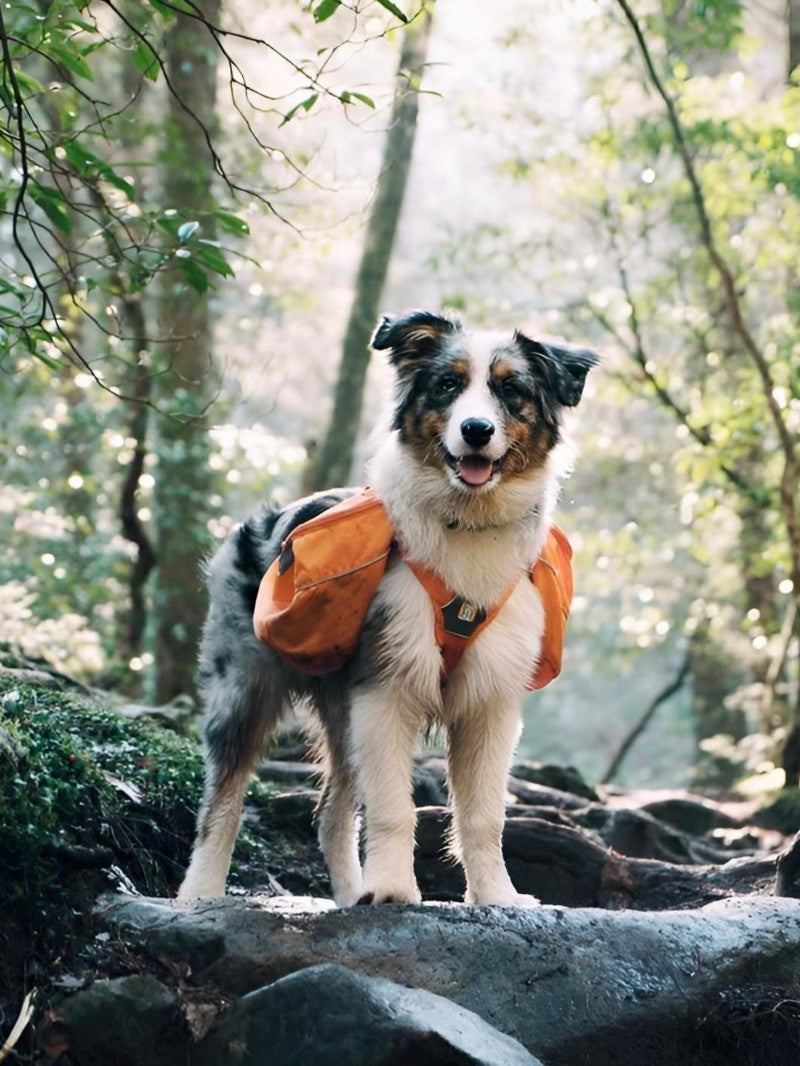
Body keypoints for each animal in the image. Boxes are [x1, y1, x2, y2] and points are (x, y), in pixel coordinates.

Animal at [178, 311, 597, 908]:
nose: (476, 430)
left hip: (341, 711)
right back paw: (199, 892)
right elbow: (395, 808)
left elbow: (484, 817)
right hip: (244, 690)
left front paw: (497, 896)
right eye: (447, 385)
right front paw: (395, 890)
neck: (467, 524)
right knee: (222, 800)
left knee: (331, 812)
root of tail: (262, 519)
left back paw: (351, 894)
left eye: (510, 389)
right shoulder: (387, 687)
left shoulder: (490, 701)